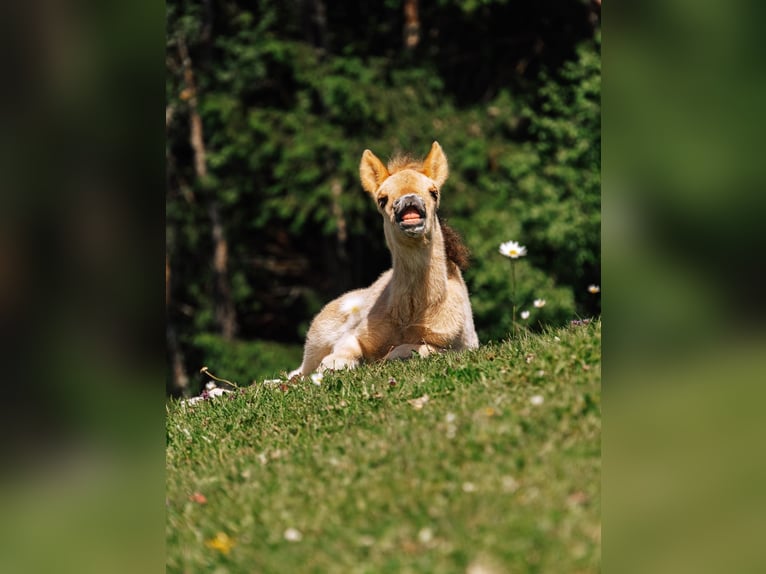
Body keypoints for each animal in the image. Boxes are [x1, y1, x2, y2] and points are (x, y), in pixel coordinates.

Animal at [290, 142, 476, 378]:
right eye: (382, 199)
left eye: (434, 192)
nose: (409, 201)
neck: (411, 314)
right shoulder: (356, 335)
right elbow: (341, 352)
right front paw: (336, 365)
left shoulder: (456, 346)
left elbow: (413, 350)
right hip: (318, 337)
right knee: (298, 371)